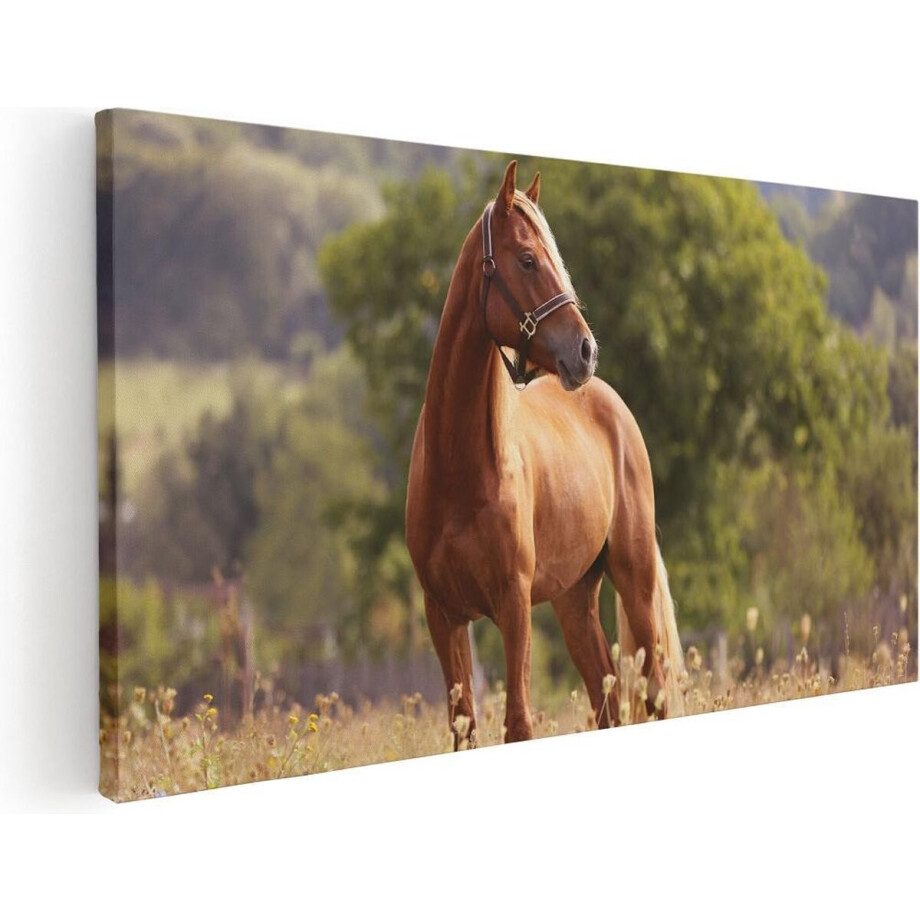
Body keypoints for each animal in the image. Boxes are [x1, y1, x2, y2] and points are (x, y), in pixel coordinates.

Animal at [405, 161, 684, 747]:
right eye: (529, 259)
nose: (586, 351)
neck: (460, 469)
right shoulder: (444, 615)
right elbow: (464, 728)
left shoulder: (513, 608)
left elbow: (518, 723)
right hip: (574, 600)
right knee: (607, 697)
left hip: (635, 581)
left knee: (653, 694)